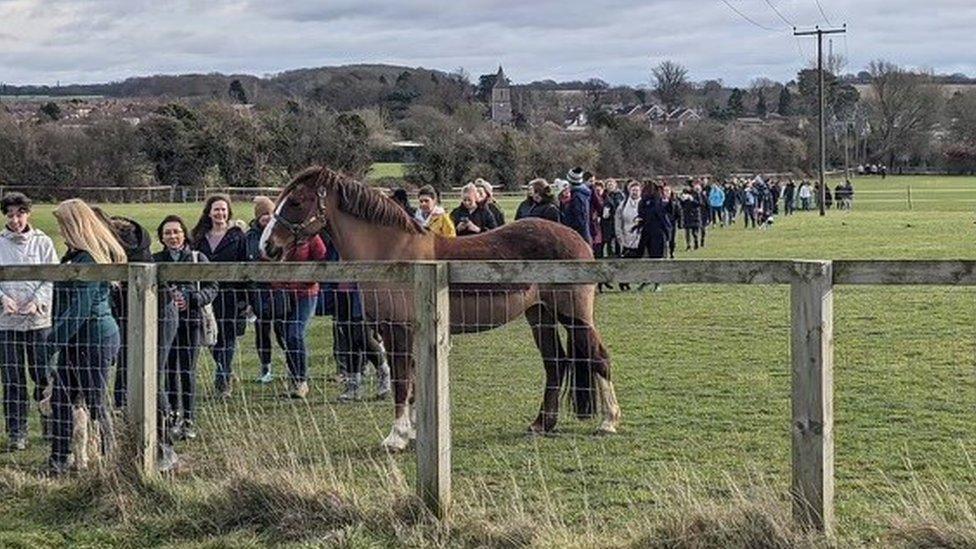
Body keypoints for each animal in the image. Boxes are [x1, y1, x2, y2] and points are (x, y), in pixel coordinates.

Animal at [264, 167, 620, 450]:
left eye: (296, 202)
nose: (268, 245)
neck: (393, 252)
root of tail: (577, 238)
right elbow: (411, 384)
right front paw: (413, 432)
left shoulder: (397, 331)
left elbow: (401, 382)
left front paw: (396, 437)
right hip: (540, 316)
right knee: (555, 364)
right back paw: (542, 423)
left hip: (574, 316)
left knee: (598, 356)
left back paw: (609, 421)